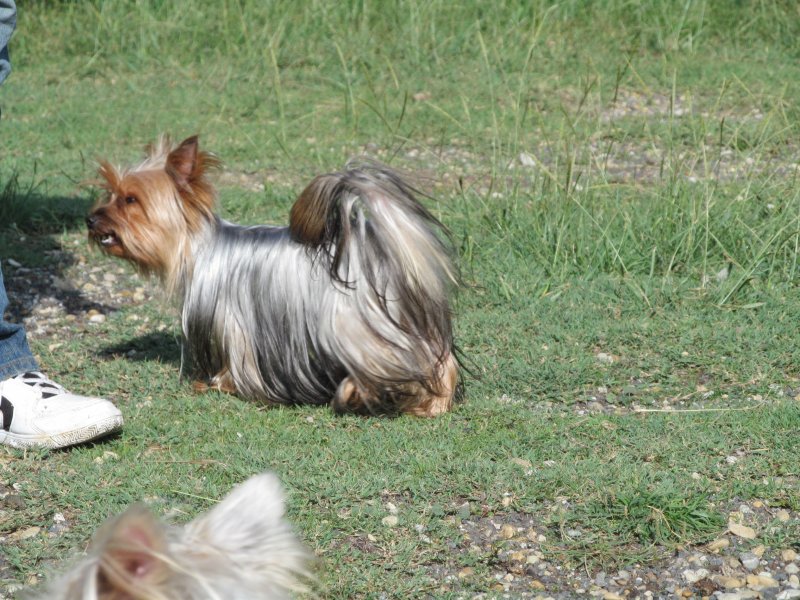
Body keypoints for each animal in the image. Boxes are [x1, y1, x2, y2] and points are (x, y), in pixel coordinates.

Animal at [86, 136, 456, 418]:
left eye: (130, 200)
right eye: (110, 192)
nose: (91, 220)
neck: (198, 247)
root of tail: (372, 247)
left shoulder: (233, 322)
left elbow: (237, 363)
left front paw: (224, 385)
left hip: (353, 326)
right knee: (439, 358)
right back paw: (434, 403)